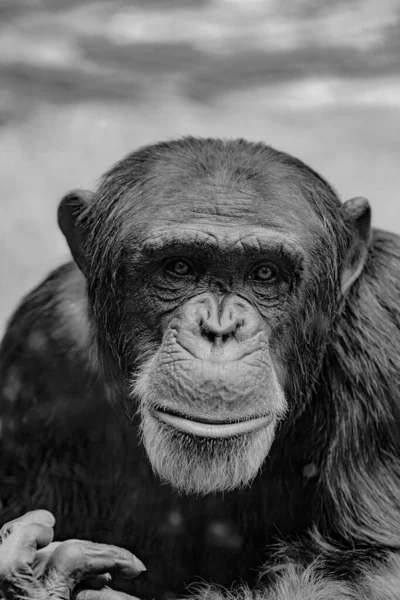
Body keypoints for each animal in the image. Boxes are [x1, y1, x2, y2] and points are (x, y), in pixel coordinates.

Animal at [0, 136, 400, 600]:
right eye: (179, 267)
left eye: (265, 273)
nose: (218, 329)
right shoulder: (40, 342)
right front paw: (34, 574)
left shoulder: (384, 315)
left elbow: (373, 565)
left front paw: (44, 577)